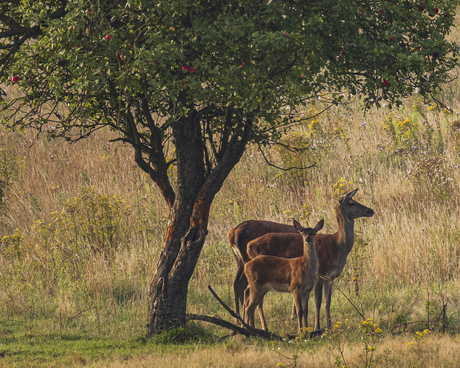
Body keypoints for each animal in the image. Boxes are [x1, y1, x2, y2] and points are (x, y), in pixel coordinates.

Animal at [230, 190, 374, 330]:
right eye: (351, 203)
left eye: (355, 200)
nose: (371, 211)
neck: (337, 245)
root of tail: (249, 245)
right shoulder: (320, 274)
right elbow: (317, 302)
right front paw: (317, 327)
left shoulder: (330, 277)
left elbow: (327, 302)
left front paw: (329, 327)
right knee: (253, 297)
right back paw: (261, 327)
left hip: (243, 265)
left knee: (243, 289)